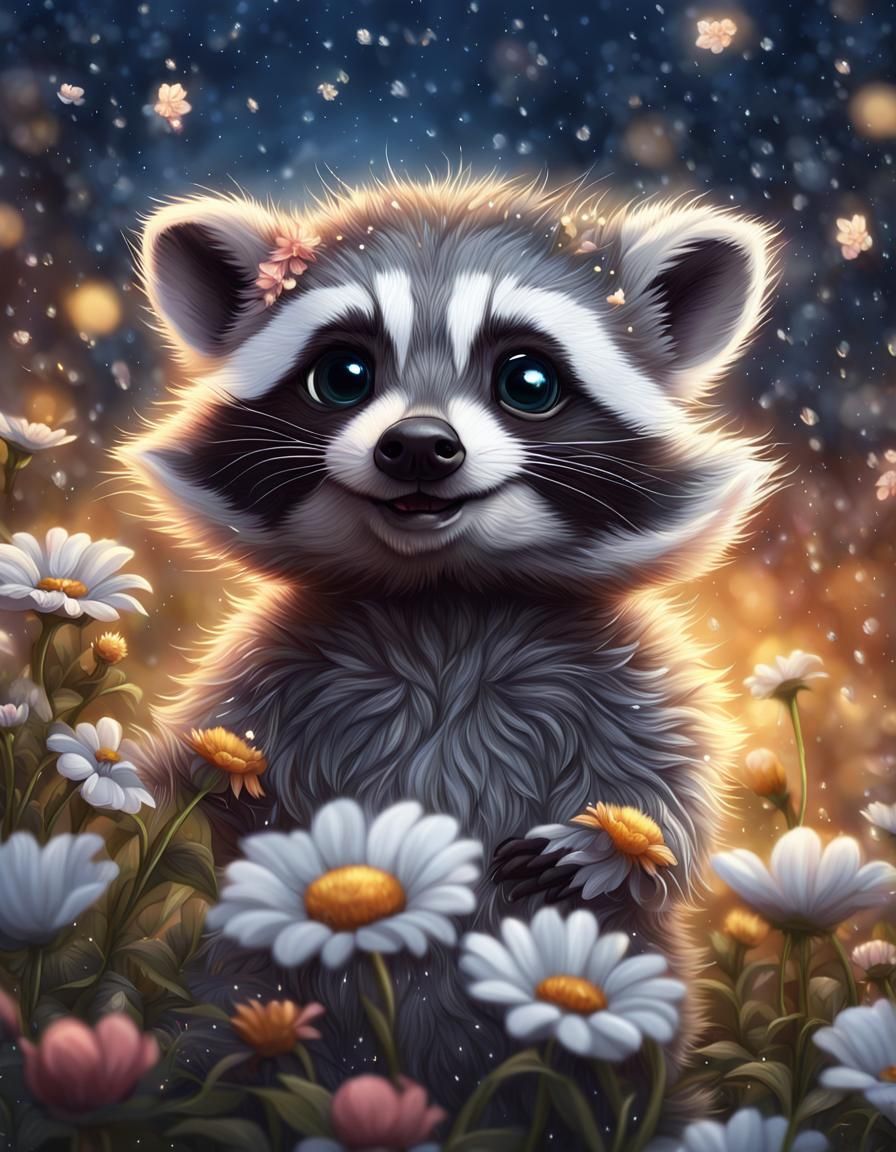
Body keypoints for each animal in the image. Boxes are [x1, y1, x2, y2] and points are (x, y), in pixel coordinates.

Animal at [121, 172, 777, 1122]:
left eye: (528, 379)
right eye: (342, 374)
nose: (420, 447)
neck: (444, 597)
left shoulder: (622, 662)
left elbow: (672, 799)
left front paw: (607, 846)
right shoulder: (273, 660)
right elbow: (206, 759)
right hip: (235, 1001)